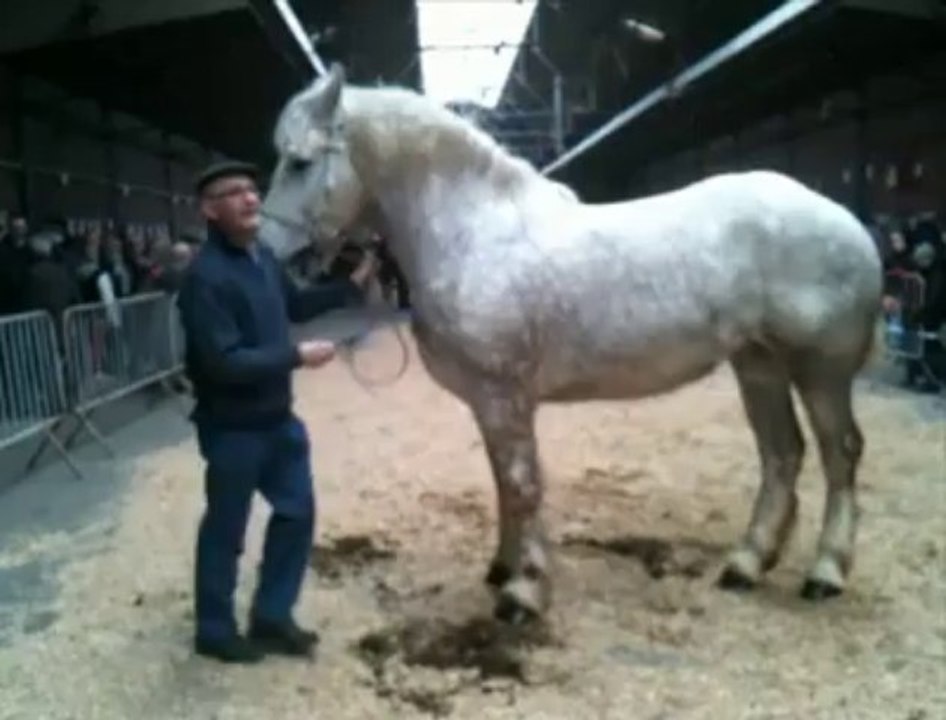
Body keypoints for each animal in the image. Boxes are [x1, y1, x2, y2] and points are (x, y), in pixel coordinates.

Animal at [259, 63, 885, 624]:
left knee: (839, 454)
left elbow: (522, 485)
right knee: (782, 454)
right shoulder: (489, 403)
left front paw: (525, 593)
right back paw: (746, 564)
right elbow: (504, 485)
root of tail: (846, 221)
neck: (474, 230)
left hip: (821, 371)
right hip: (759, 364)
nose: (266, 252)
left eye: (300, 161)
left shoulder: (504, 397)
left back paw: (825, 572)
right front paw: (503, 568)